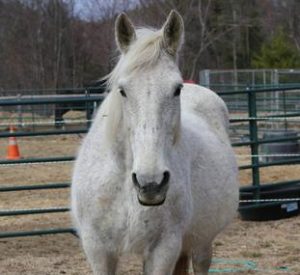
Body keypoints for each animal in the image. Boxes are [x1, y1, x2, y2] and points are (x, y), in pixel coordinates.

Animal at [71, 9, 239, 274]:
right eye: (122, 90)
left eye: (177, 89)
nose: (150, 184)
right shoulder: (98, 250)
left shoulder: (163, 249)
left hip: (201, 242)